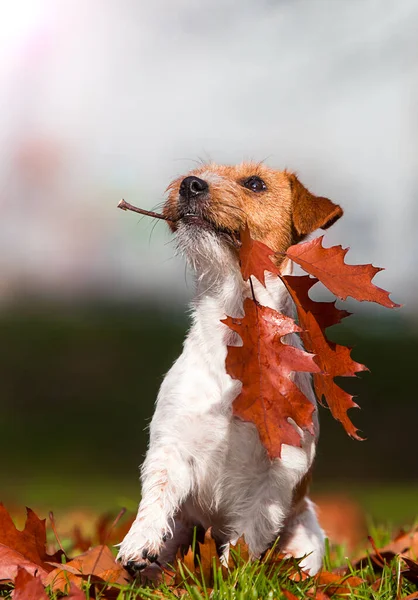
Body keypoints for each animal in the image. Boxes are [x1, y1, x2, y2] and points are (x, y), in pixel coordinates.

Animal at [116, 163, 342, 576]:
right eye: (197, 172)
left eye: (255, 183)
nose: (190, 184)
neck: (237, 331)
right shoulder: (171, 443)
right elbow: (156, 494)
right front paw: (140, 540)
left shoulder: (279, 472)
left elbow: (248, 534)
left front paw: (228, 576)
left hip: (306, 536)